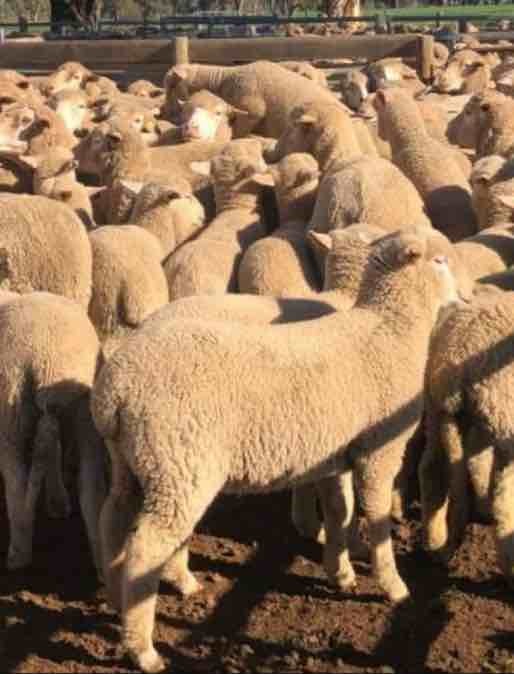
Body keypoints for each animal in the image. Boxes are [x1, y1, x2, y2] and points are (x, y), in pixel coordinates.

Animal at [1, 291, 105, 576]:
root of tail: (46, 365)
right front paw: (57, 501)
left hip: (11, 409)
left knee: (15, 482)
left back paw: (18, 550)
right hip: (83, 415)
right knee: (90, 491)